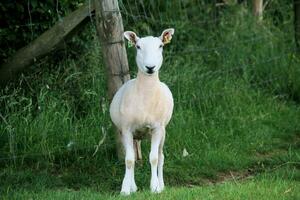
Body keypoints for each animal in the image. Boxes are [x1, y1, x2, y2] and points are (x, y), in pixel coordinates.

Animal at [109, 28, 175, 195]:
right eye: (138, 46)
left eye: (160, 46)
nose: (150, 67)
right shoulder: (126, 129)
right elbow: (129, 160)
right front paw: (126, 190)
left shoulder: (157, 128)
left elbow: (154, 158)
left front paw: (155, 187)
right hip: (132, 134)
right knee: (132, 155)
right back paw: (133, 186)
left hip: (163, 132)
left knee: (161, 156)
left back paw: (162, 184)